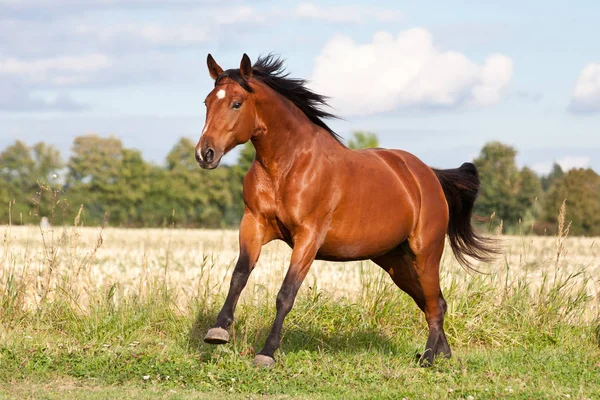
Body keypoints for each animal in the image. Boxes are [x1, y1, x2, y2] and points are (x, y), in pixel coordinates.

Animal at [196, 53, 496, 368]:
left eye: (236, 103)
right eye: (207, 102)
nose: (205, 154)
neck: (288, 165)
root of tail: (428, 175)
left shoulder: (308, 237)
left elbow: (286, 294)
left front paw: (267, 352)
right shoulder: (254, 224)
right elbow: (239, 275)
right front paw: (217, 331)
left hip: (425, 254)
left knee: (434, 304)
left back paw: (427, 359)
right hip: (395, 262)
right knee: (433, 301)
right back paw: (443, 354)